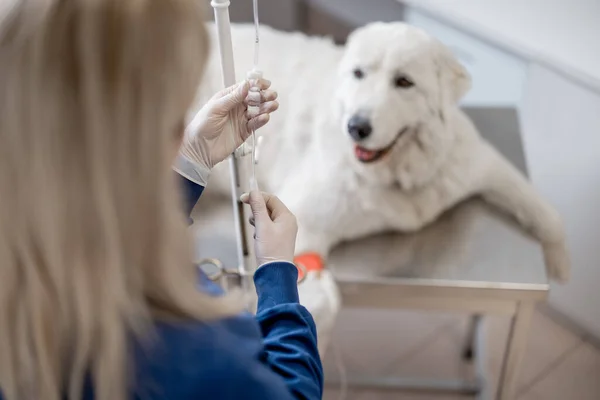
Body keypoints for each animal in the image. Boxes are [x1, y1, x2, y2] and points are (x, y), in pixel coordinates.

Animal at [195, 21, 568, 350]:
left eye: (404, 82)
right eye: (358, 74)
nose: (356, 127)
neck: (399, 172)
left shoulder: (480, 164)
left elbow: (543, 210)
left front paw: (560, 263)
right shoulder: (301, 217)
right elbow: (312, 297)